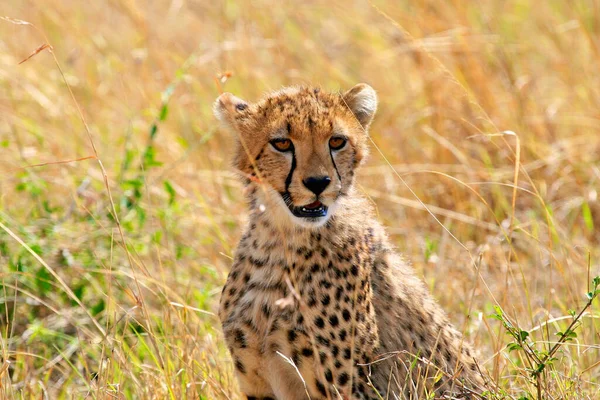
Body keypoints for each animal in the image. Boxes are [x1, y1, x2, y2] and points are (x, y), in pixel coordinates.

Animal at [213, 83, 486, 398]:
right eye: (281, 143)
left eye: (337, 141)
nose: (318, 182)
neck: (281, 240)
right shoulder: (257, 380)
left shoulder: (347, 386)